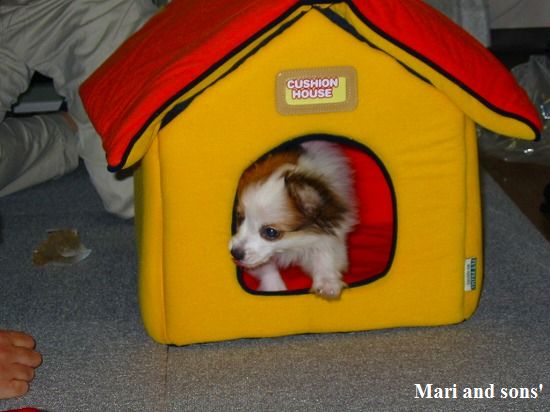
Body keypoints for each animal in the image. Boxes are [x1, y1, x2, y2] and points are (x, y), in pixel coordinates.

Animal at [229, 140, 358, 300]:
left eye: (271, 232)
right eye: (240, 217)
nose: (235, 253)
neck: (293, 244)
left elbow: (325, 253)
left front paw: (327, 281)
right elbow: (266, 266)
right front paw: (274, 287)